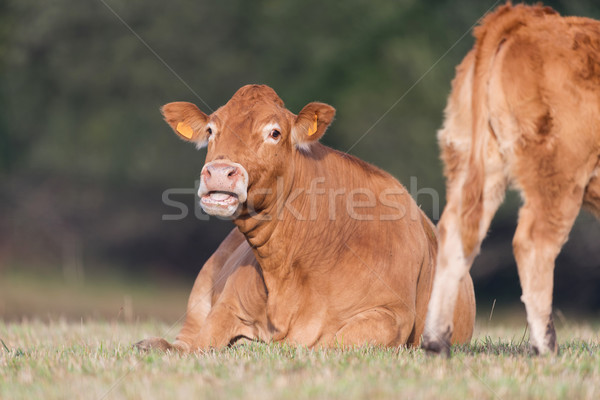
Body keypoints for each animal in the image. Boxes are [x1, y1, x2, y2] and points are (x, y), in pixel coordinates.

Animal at [136, 83, 474, 350]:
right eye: (210, 130)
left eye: (274, 132)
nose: (219, 172)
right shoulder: (226, 306)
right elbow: (200, 344)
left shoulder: (392, 315)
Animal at [422, 1, 600, 354]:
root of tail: (530, 16)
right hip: (558, 173)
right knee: (533, 242)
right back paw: (545, 346)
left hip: (472, 158)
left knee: (454, 231)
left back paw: (436, 340)